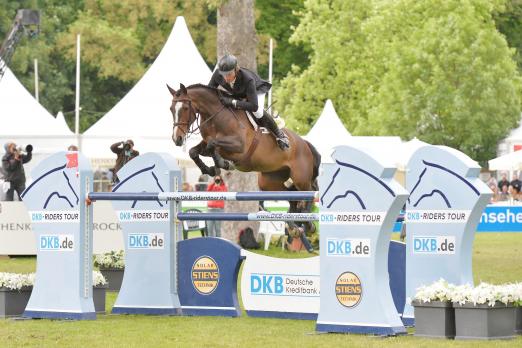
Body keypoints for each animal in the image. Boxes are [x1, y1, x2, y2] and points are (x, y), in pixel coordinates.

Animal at [167, 82, 320, 234]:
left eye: (185, 108)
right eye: (171, 109)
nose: (177, 139)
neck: (216, 118)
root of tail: (304, 142)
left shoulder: (239, 146)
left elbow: (213, 145)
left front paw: (222, 163)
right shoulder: (206, 144)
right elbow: (194, 151)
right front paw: (210, 169)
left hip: (300, 177)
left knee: (310, 191)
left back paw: (308, 223)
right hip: (269, 181)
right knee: (291, 195)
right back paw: (293, 224)